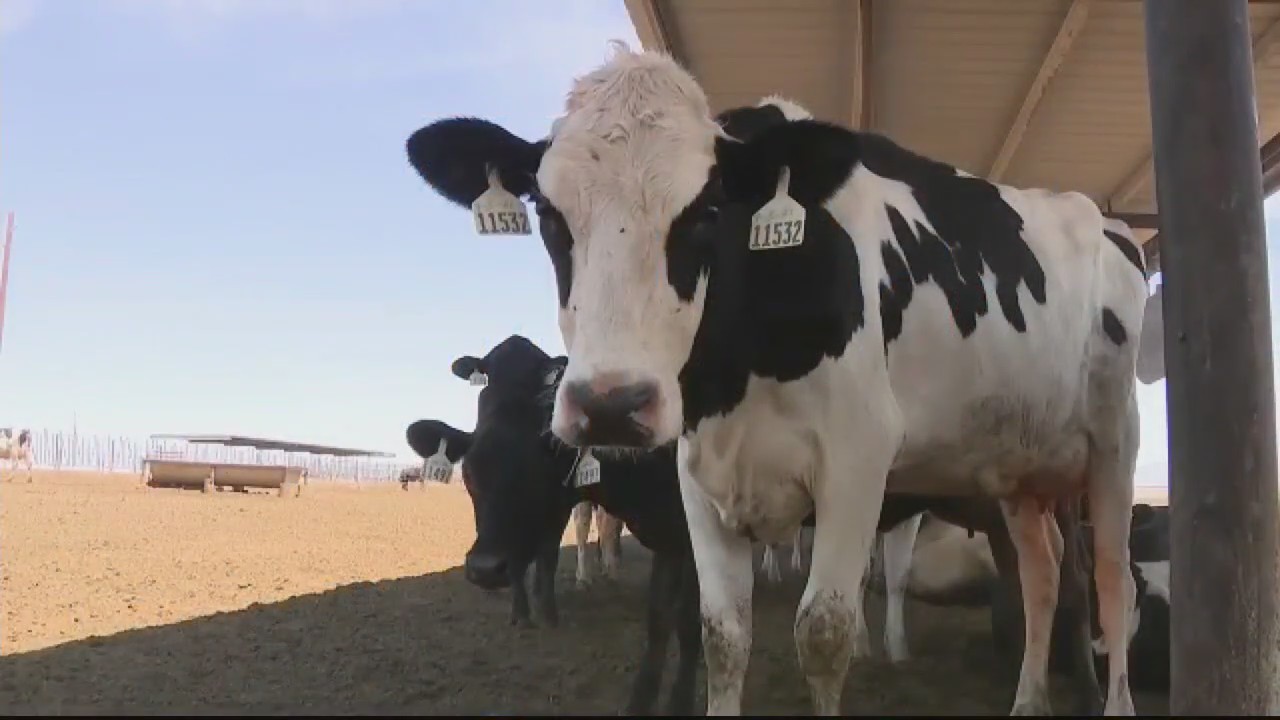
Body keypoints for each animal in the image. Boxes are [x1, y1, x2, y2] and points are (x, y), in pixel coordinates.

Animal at [405, 335, 700, 715]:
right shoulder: (668, 540)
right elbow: (659, 620)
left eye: (544, 464)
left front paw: (680, 703)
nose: (484, 568)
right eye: (468, 472)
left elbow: (690, 624)